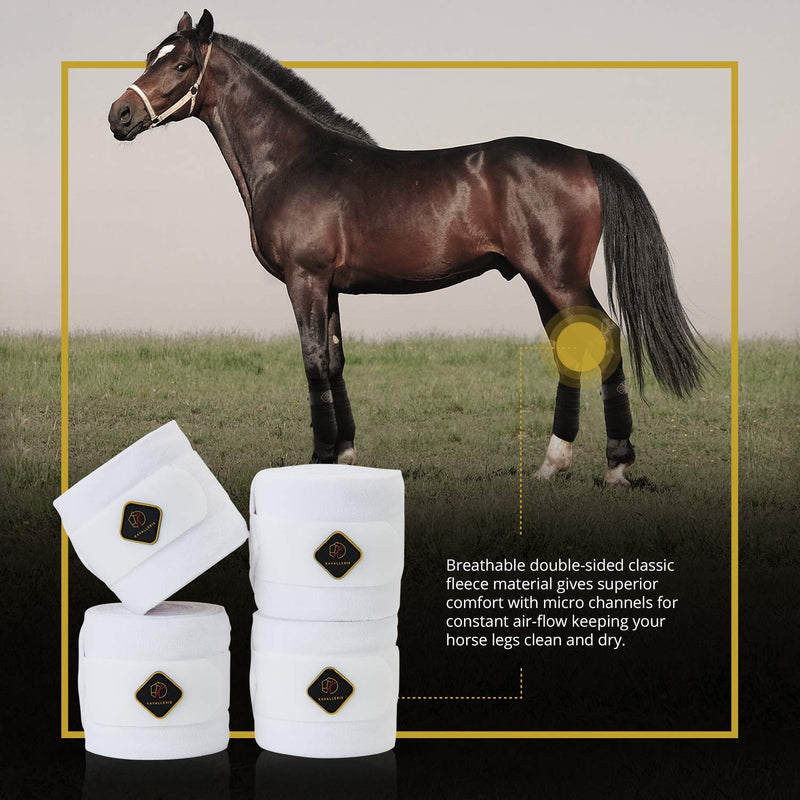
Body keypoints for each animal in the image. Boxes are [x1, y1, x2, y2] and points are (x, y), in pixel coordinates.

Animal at [108, 10, 707, 487]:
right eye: (151, 56)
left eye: (182, 65)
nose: (119, 115)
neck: (295, 160)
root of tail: (583, 156)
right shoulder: (329, 287)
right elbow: (335, 360)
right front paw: (344, 456)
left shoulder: (305, 279)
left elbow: (313, 362)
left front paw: (318, 460)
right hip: (542, 281)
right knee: (570, 348)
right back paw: (551, 465)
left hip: (559, 278)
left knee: (605, 339)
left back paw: (616, 465)